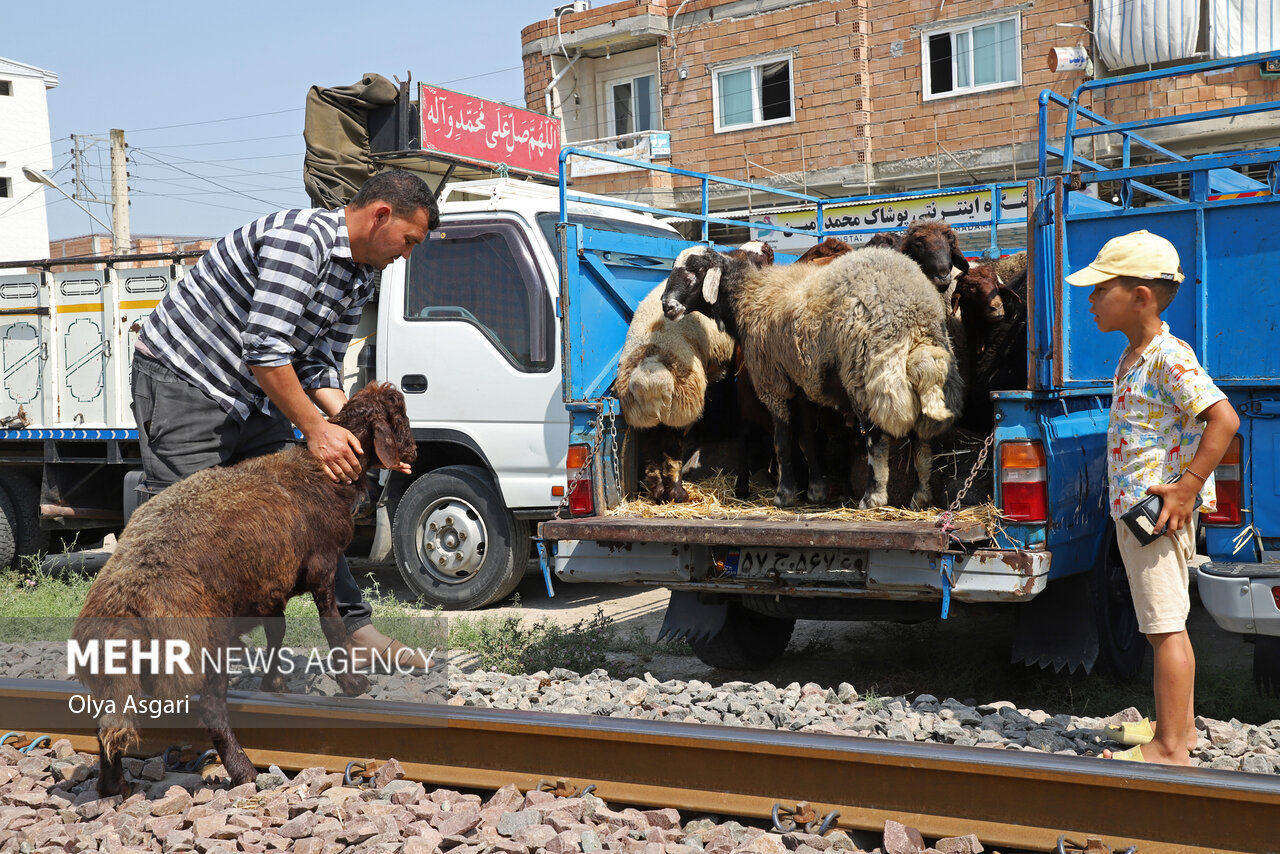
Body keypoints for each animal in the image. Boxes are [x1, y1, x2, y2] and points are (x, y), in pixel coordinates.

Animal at [660, 243, 962, 507]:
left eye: (697, 269)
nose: (666, 305)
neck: (748, 296)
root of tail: (913, 309)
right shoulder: (801, 383)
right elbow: (805, 439)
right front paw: (816, 491)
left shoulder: (774, 384)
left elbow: (782, 441)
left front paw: (784, 494)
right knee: (921, 439)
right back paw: (920, 497)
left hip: (866, 373)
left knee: (877, 439)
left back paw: (872, 498)